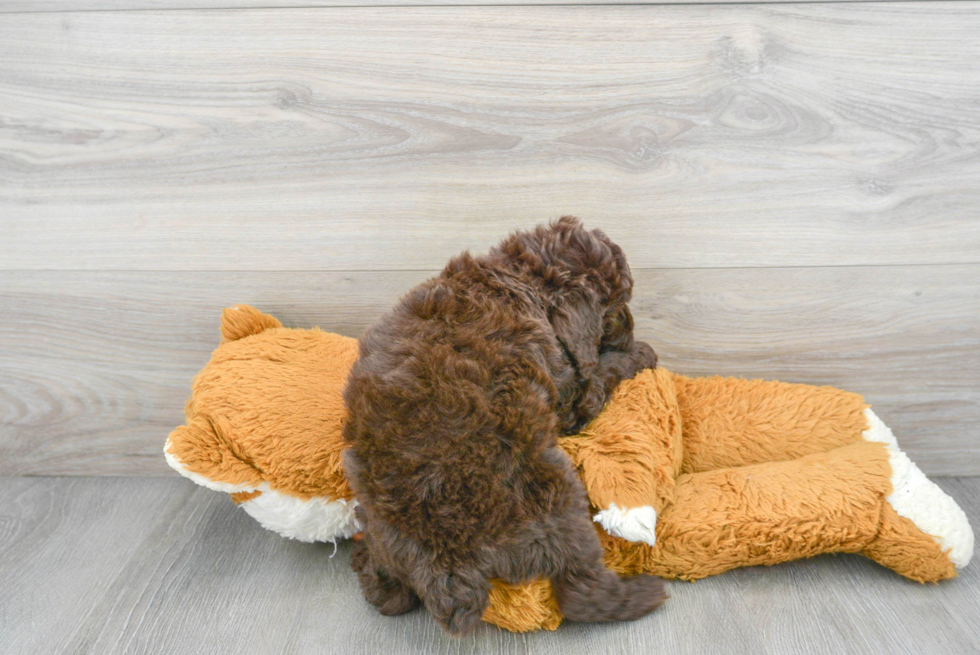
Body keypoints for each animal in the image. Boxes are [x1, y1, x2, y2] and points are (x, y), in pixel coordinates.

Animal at [342, 219, 668, 636]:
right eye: (617, 305)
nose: (631, 329)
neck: (520, 277)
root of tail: (445, 564)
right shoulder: (572, 395)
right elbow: (603, 372)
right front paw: (642, 352)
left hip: (381, 532)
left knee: (389, 596)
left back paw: (367, 567)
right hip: (557, 502)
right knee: (582, 591)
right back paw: (644, 593)